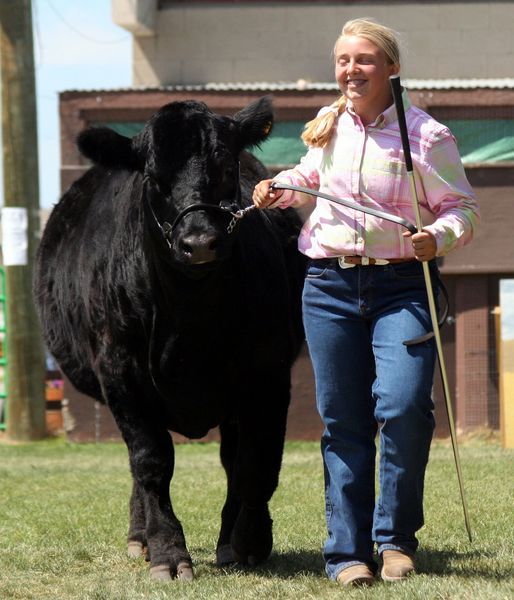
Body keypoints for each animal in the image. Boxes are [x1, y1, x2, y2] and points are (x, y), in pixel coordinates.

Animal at [34, 98, 306, 580]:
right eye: (153, 178)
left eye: (225, 166)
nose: (198, 243)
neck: (190, 320)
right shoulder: (120, 374)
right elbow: (151, 461)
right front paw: (166, 552)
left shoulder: (268, 373)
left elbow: (257, 461)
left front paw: (250, 540)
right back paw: (139, 537)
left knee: (232, 458)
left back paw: (227, 538)